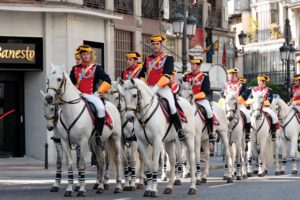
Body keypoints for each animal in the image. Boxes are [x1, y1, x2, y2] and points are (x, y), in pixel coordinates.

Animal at [43, 66, 122, 197]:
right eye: (48, 80)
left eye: (59, 79)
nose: (49, 98)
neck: (71, 111)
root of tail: (112, 106)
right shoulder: (64, 142)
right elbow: (69, 164)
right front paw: (69, 189)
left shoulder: (83, 142)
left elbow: (81, 164)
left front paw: (81, 189)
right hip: (96, 143)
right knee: (101, 161)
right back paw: (100, 186)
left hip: (115, 138)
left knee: (116, 160)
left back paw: (118, 186)